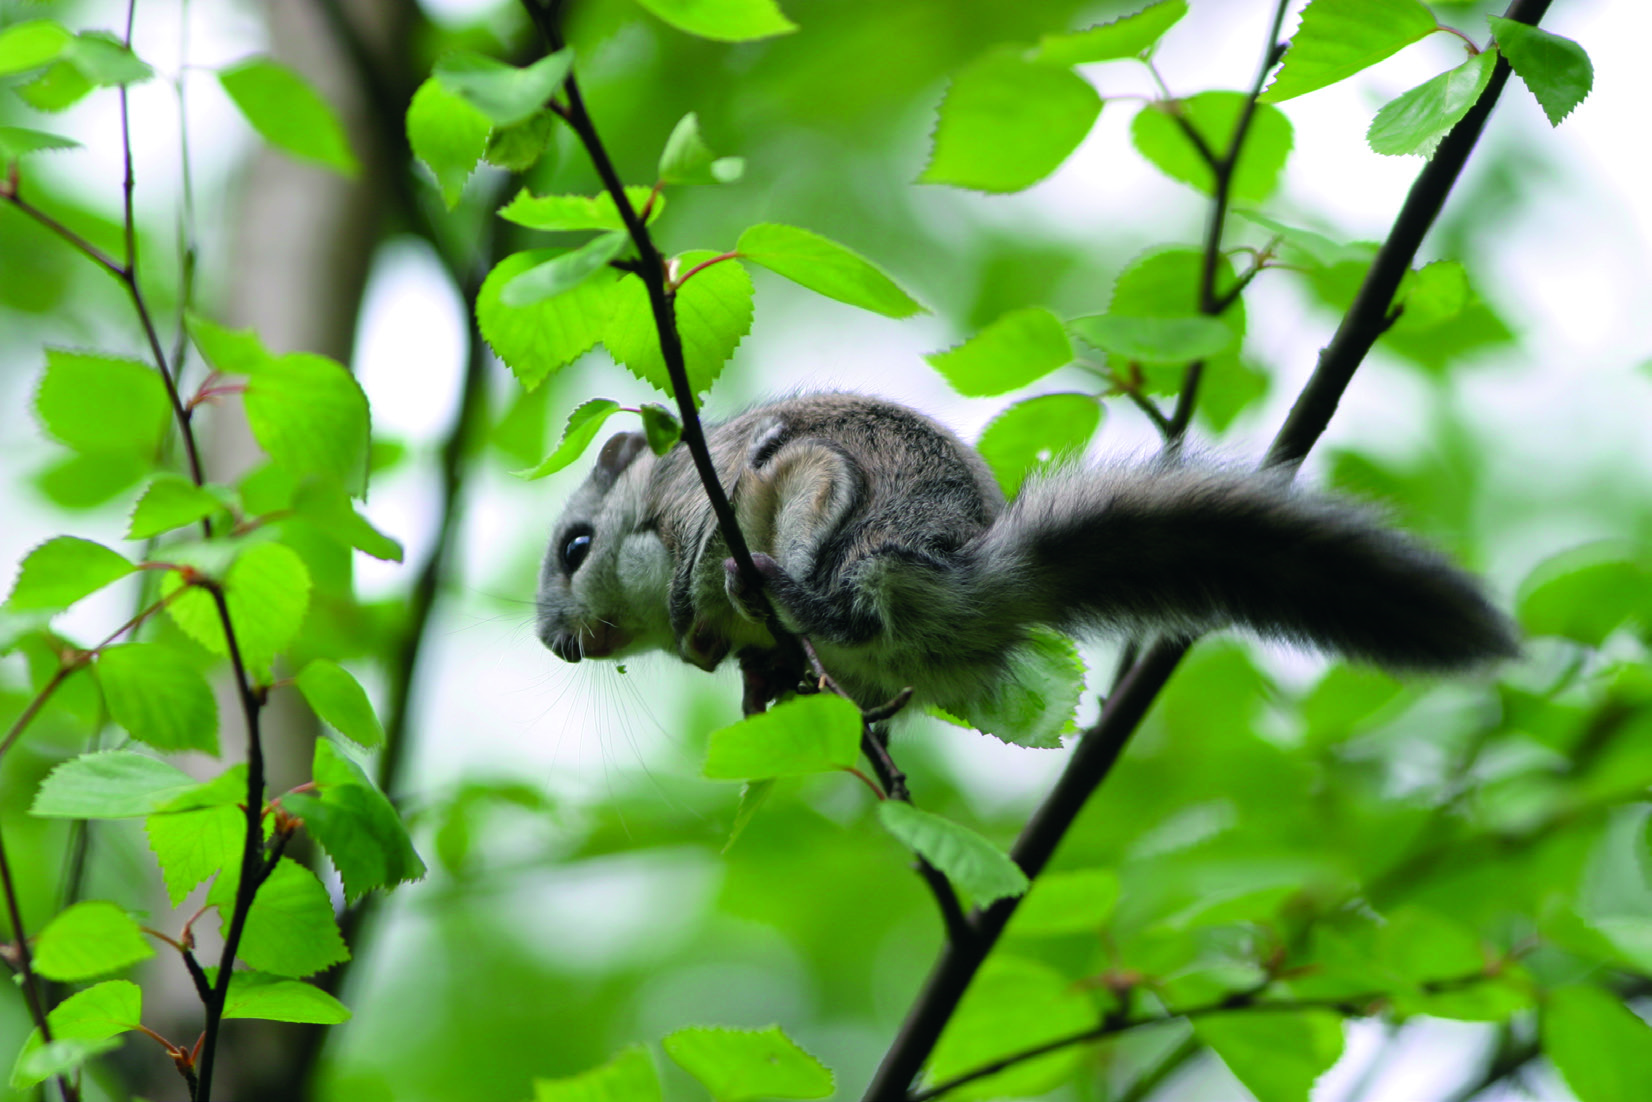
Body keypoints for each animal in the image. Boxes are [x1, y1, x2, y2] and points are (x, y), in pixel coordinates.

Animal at [535, 391, 1513, 720]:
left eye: (575, 546)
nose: (553, 646)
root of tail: (969, 577)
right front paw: (738, 672)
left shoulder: (707, 496)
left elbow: (699, 549)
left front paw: (695, 610)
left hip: (836, 498)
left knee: (842, 594)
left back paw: (774, 589)